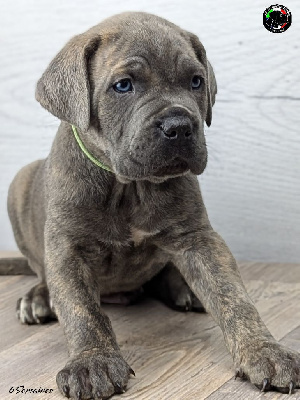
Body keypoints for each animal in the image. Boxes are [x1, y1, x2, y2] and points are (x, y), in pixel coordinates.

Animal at [7, 10, 300, 398]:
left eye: (196, 81)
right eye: (123, 86)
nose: (179, 126)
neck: (128, 186)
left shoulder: (198, 238)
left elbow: (233, 297)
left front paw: (264, 351)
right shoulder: (67, 247)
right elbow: (80, 309)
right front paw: (93, 362)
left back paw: (183, 287)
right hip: (19, 183)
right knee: (42, 272)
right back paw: (39, 298)